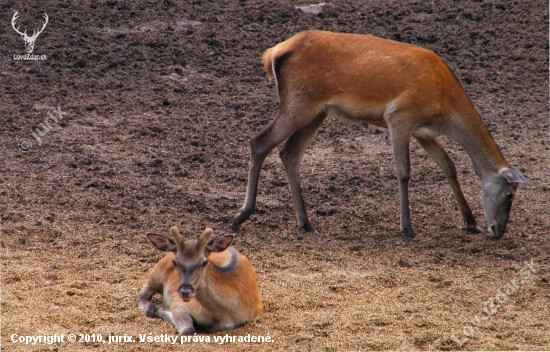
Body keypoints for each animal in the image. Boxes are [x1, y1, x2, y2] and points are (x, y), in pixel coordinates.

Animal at [232, 30, 532, 239]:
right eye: (510, 195)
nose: (498, 231)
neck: (445, 106)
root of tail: (273, 53)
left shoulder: (423, 131)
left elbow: (449, 166)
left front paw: (470, 223)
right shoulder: (399, 117)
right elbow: (404, 171)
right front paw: (407, 228)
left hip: (317, 111)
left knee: (289, 153)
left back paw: (305, 222)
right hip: (299, 102)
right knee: (259, 142)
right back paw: (242, 215)